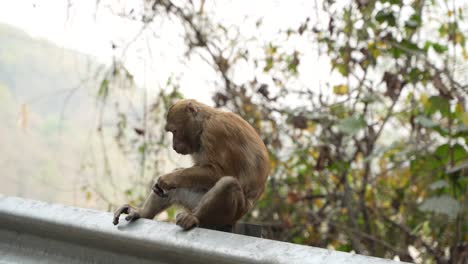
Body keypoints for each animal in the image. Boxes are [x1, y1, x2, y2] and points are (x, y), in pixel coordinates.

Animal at [111, 98, 268, 230]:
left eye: (174, 131)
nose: (174, 146)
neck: (205, 122)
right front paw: (170, 176)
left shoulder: (216, 131)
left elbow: (221, 172)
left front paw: (168, 178)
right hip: (195, 202)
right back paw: (142, 213)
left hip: (232, 214)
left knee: (228, 184)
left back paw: (194, 218)